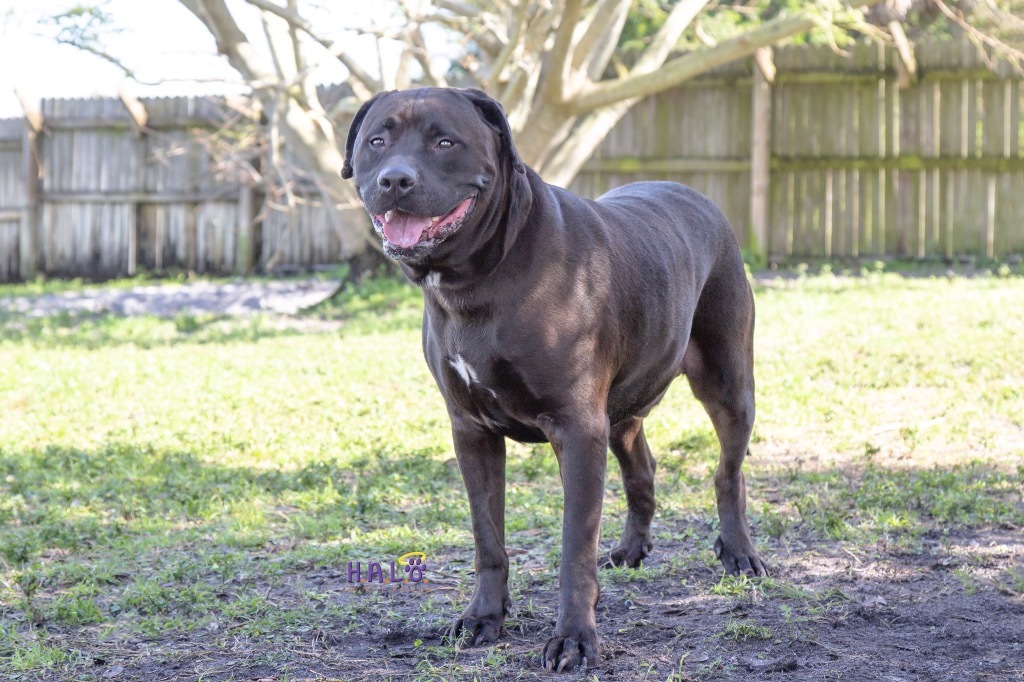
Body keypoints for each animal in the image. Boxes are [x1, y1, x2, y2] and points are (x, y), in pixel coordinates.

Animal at [339, 86, 765, 667]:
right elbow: (487, 538)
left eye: (445, 141)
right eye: (377, 142)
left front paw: (575, 637)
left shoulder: (577, 429)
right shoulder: (472, 431)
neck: (477, 279)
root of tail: (693, 193)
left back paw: (739, 553)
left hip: (727, 381)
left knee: (728, 471)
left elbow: (573, 549)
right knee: (641, 465)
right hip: (623, 406)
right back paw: (631, 549)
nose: (394, 180)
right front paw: (483, 618)